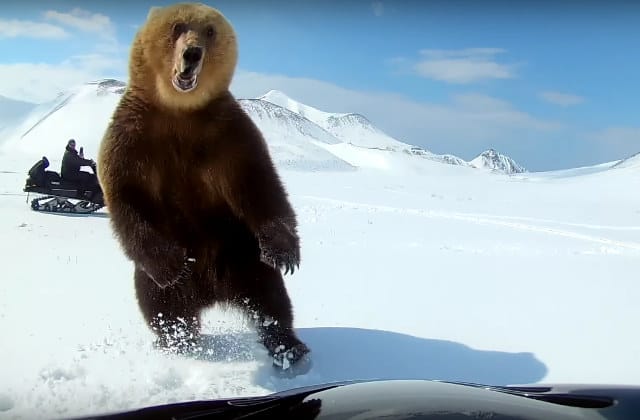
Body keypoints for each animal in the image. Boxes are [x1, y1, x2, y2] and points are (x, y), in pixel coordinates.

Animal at [95, 2, 312, 370]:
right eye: (177, 26)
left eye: (210, 31)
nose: (193, 53)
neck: (180, 111)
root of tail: (213, 293)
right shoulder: (132, 135)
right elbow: (127, 195)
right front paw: (171, 265)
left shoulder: (229, 134)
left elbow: (260, 185)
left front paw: (285, 252)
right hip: (174, 270)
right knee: (161, 302)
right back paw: (178, 341)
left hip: (238, 250)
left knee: (269, 294)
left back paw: (287, 346)